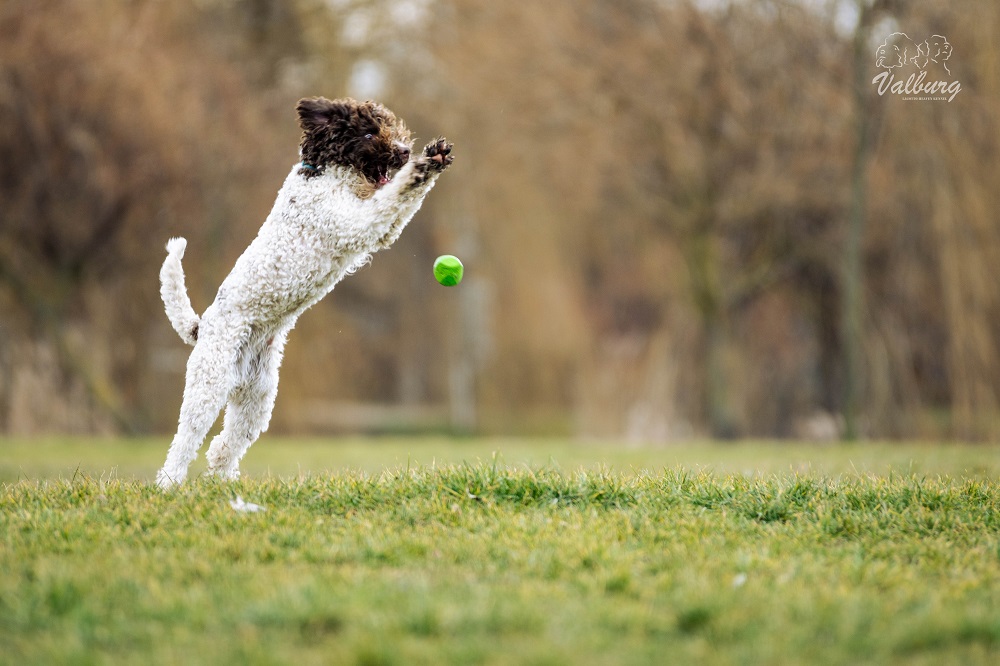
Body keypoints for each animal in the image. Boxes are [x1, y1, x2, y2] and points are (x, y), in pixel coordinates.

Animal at [156, 96, 454, 486]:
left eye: (389, 123)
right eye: (369, 131)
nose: (405, 150)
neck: (324, 173)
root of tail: (201, 326)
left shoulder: (379, 228)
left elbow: (400, 206)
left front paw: (436, 158)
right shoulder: (354, 223)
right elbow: (392, 196)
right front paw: (420, 167)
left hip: (258, 396)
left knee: (224, 444)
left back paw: (224, 482)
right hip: (210, 382)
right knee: (186, 439)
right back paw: (168, 485)